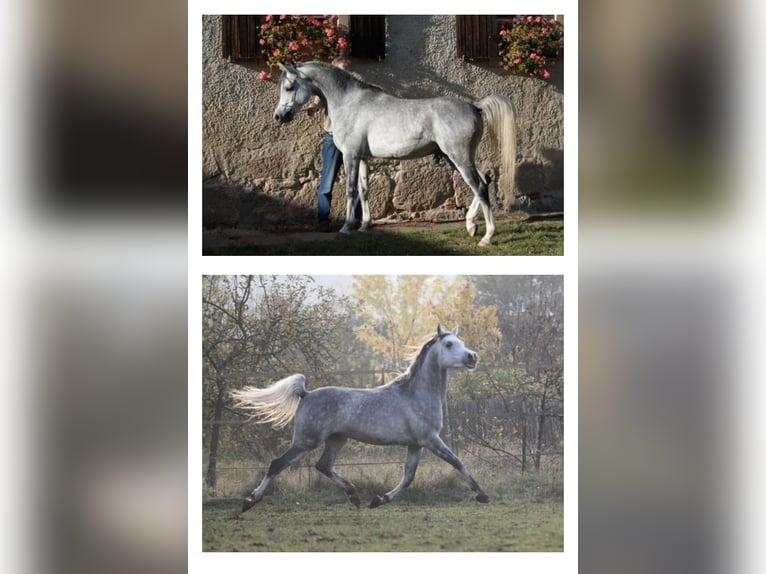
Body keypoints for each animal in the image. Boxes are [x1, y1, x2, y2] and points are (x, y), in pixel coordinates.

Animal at [231, 324, 488, 512]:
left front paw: (379, 499)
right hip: (306, 441)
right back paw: (249, 501)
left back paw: (354, 496)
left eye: (462, 343)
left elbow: (408, 477)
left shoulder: (416, 444)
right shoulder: (431, 440)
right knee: (278, 464)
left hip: (337, 439)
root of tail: (306, 393)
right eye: (449, 344)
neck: (415, 394)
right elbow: (457, 462)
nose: (473, 356)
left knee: (323, 465)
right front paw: (482, 494)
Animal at [272, 62, 520, 246]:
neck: (350, 104)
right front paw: (364, 225)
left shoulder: (351, 156)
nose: (279, 117)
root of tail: (474, 106)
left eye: (289, 87)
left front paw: (346, 228)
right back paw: (470, 226)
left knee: (479, 187)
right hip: (457, 158)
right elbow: (364, 191)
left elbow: (351, 190)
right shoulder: (363, 158)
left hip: (459, 157)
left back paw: (487, 237)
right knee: (484, 181)